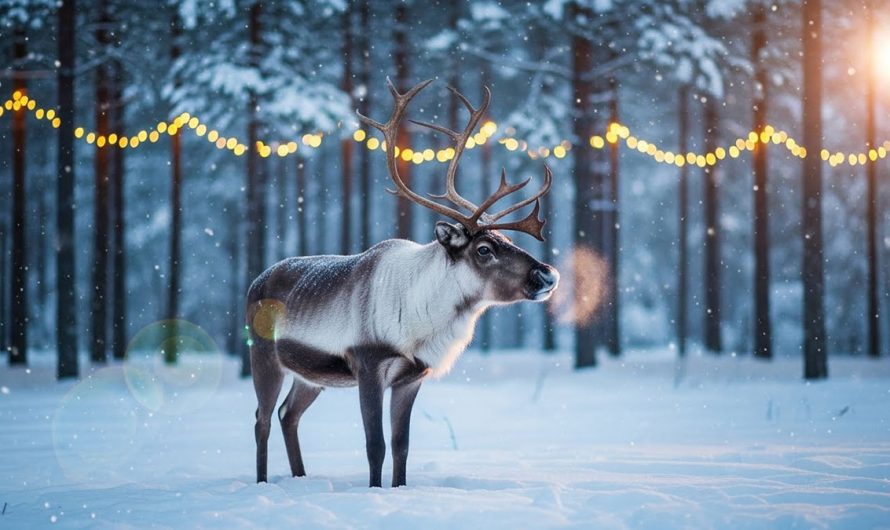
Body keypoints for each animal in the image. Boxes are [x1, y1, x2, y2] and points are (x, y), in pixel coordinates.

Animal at [246, 78, 559, 488]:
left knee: (288, 415)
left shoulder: (411, 378)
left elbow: (401, 445)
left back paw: (300, 477)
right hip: (263, 355)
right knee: (262, 419)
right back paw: (262, 482)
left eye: (508, 240)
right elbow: (375, 445)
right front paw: (374, 490)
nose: (547, 274)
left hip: (310, 374)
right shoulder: (367, 365)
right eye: (484, 249)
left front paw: (398, 488)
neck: (422, 321)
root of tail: (255, 281)